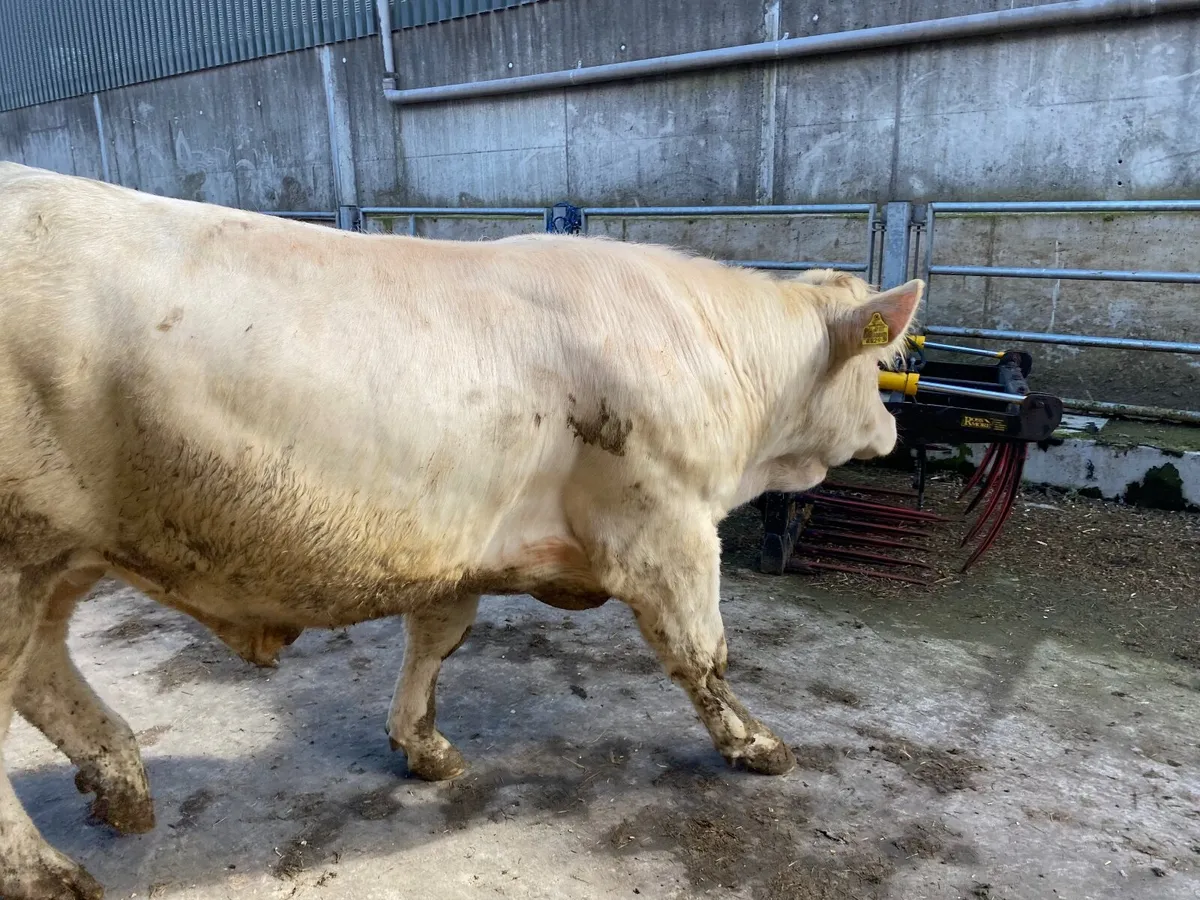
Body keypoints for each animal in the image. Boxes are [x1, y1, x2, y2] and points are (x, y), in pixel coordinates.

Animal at [0, 161, 922, 899]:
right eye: (883, 365)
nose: (891, 432)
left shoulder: (457, 541)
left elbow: (436, 640)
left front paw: (425, 747)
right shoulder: (664, 522)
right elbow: (703, 653)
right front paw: (758, 746)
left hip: (60, 556)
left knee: (43, 674)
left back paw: (122, 788)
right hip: (16, 556)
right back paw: (48, 872)